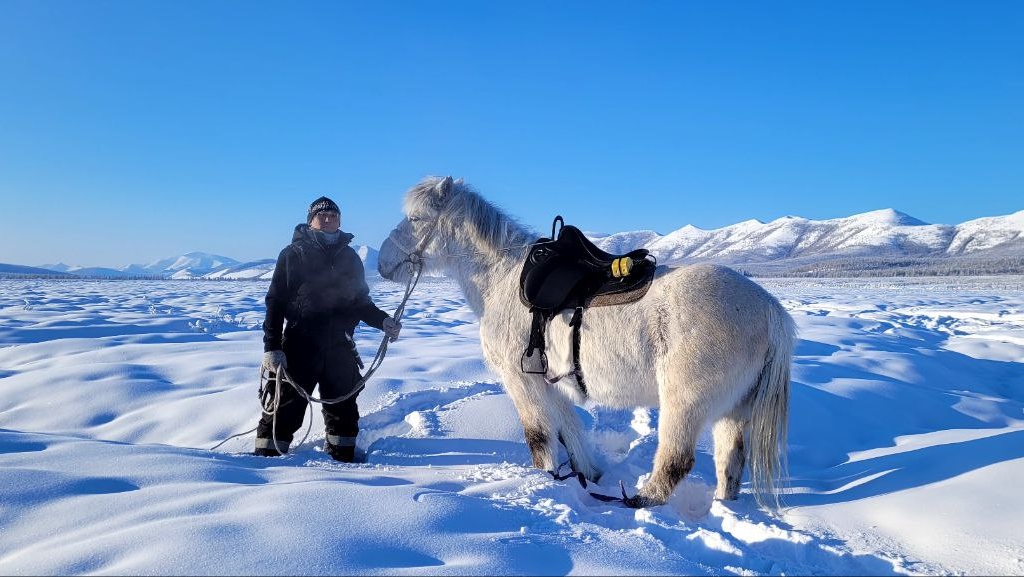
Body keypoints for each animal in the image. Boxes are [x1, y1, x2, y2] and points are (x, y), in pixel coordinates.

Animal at [380, 176, 794, 510]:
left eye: (416, 219)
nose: (383, 262)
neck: (502, 279)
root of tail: (769, 307)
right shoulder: (551, 383)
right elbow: (570, 432)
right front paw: (588, 476)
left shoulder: (520, 381)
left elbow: (538, 436)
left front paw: (544, 481)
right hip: (733, 410)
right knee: (730, 464)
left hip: (685, 403)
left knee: (676, 462)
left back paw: (638, 501)